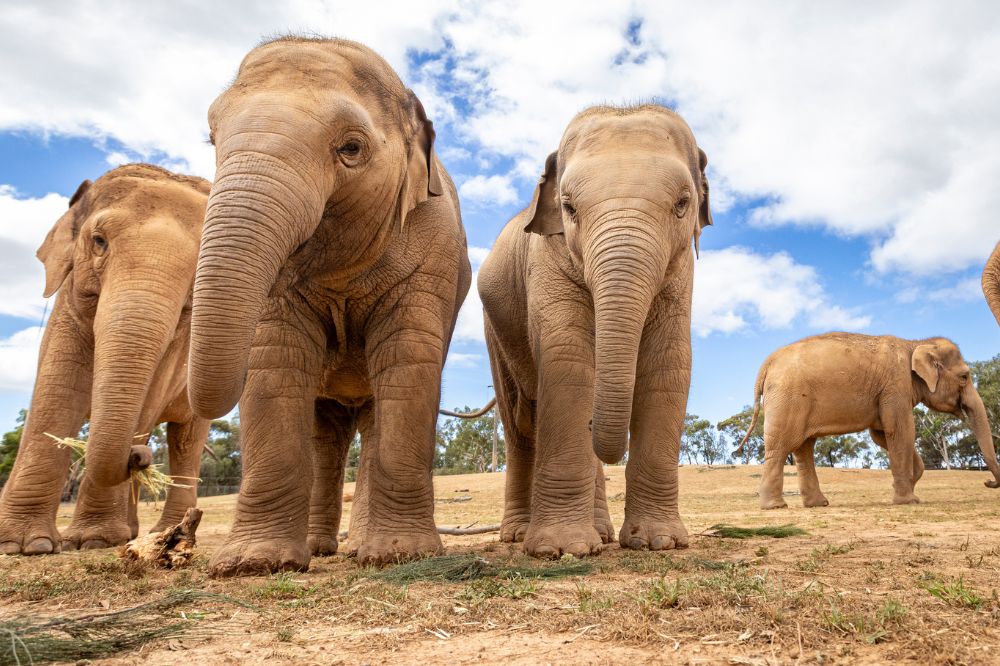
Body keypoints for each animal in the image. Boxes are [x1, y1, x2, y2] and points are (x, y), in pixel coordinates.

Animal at [0, 164, 211, 554]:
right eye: (99, 241)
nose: (138, 454)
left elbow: (149, 396)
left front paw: (93, 539)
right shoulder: (68, 301)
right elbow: (55, 391)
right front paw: (23, 546)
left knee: (186, 439)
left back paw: (165, 530)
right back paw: (133, 531)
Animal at [187, 37, 471, 575]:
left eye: (351, 149)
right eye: (211, 139)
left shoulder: (434, 251)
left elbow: (407, 363)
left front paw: (402, 555)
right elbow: (275, 365)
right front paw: (253, 564)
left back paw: (362, 550)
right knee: (325, 433)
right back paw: (320, 549)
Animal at [477, 104, 713, 558]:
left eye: (682, 204)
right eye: (569, 208)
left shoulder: (681, 273)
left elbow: (670, 364)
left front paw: (659, 542)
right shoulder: (547, 260)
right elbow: (567, 359)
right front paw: (560, 550)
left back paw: (601, 534)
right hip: (494, 329)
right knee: (519, 426)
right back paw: (518, 534)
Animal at [736, 333, 1000, 509]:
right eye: (964, 377)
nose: (987, 482)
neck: (914, 343)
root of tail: (766, 365)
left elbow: (882, 435)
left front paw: (910, 487)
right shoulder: (896, 386)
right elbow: (901, 430)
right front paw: (908, 500)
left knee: (804, 448)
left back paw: (818, 504)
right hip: (788, 400)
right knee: (781, 447)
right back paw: (776, 506)